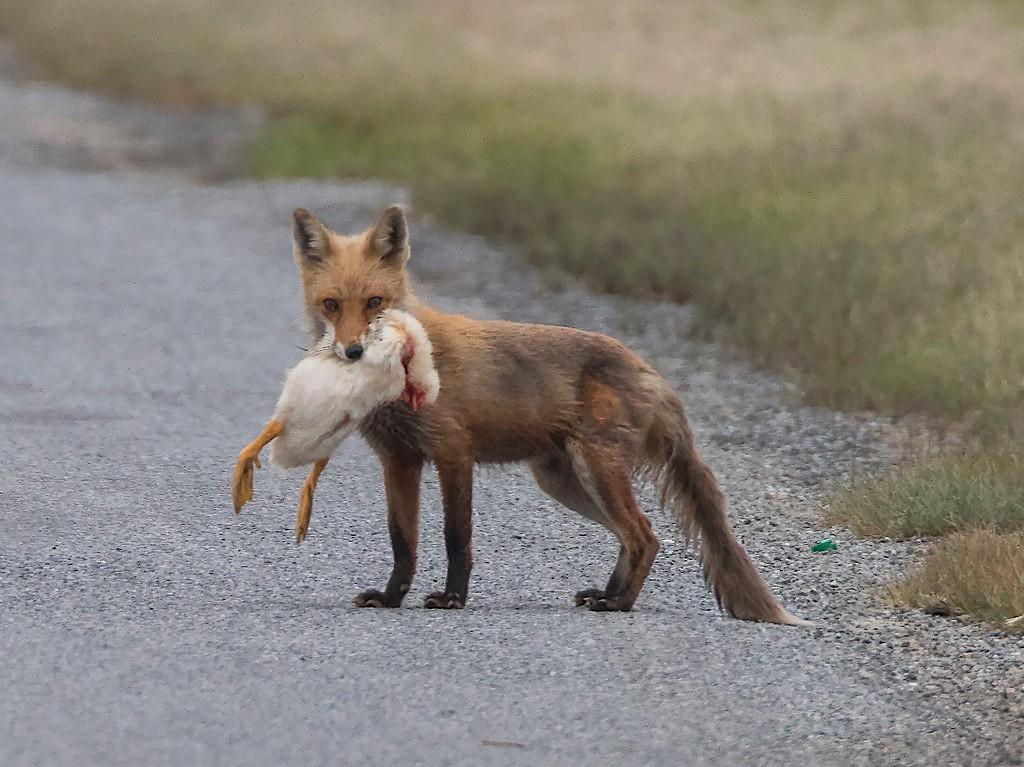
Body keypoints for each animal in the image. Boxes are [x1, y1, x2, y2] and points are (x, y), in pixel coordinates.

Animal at [288, 206, 806, 626]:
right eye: (331, 304)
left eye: (374, 303)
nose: (353, 352)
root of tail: (647, 368)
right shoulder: (398, 459)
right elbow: (402, 540)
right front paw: (392, 597)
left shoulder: (453, 451)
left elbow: (456, 536)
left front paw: (453, 599)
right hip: (563, 481)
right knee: (639, 537)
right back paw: (609, 594)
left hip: (594, 469)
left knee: (643, 535)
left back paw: (618, 605)